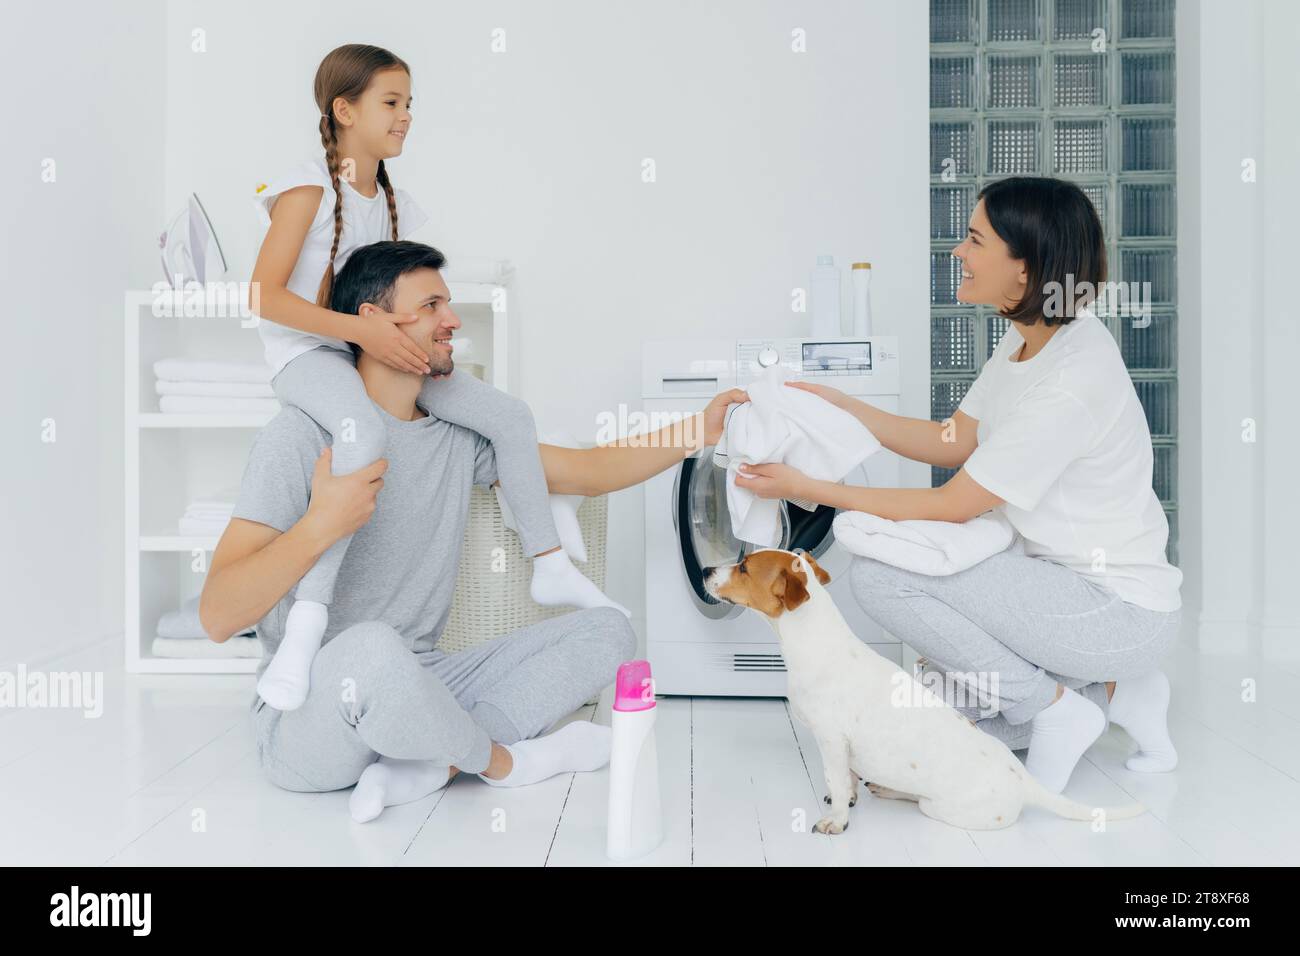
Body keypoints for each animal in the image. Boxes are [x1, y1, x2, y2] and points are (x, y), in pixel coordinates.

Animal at [702, 548, 1149, 832]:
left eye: (743, 567)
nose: (705, 570)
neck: (813, 642)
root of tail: (1023, 780)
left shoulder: (830, 739)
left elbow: (836, 779)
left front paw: (838, 820)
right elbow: (846, 780)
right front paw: (849, 797)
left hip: (937, 808)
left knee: (919, 801)